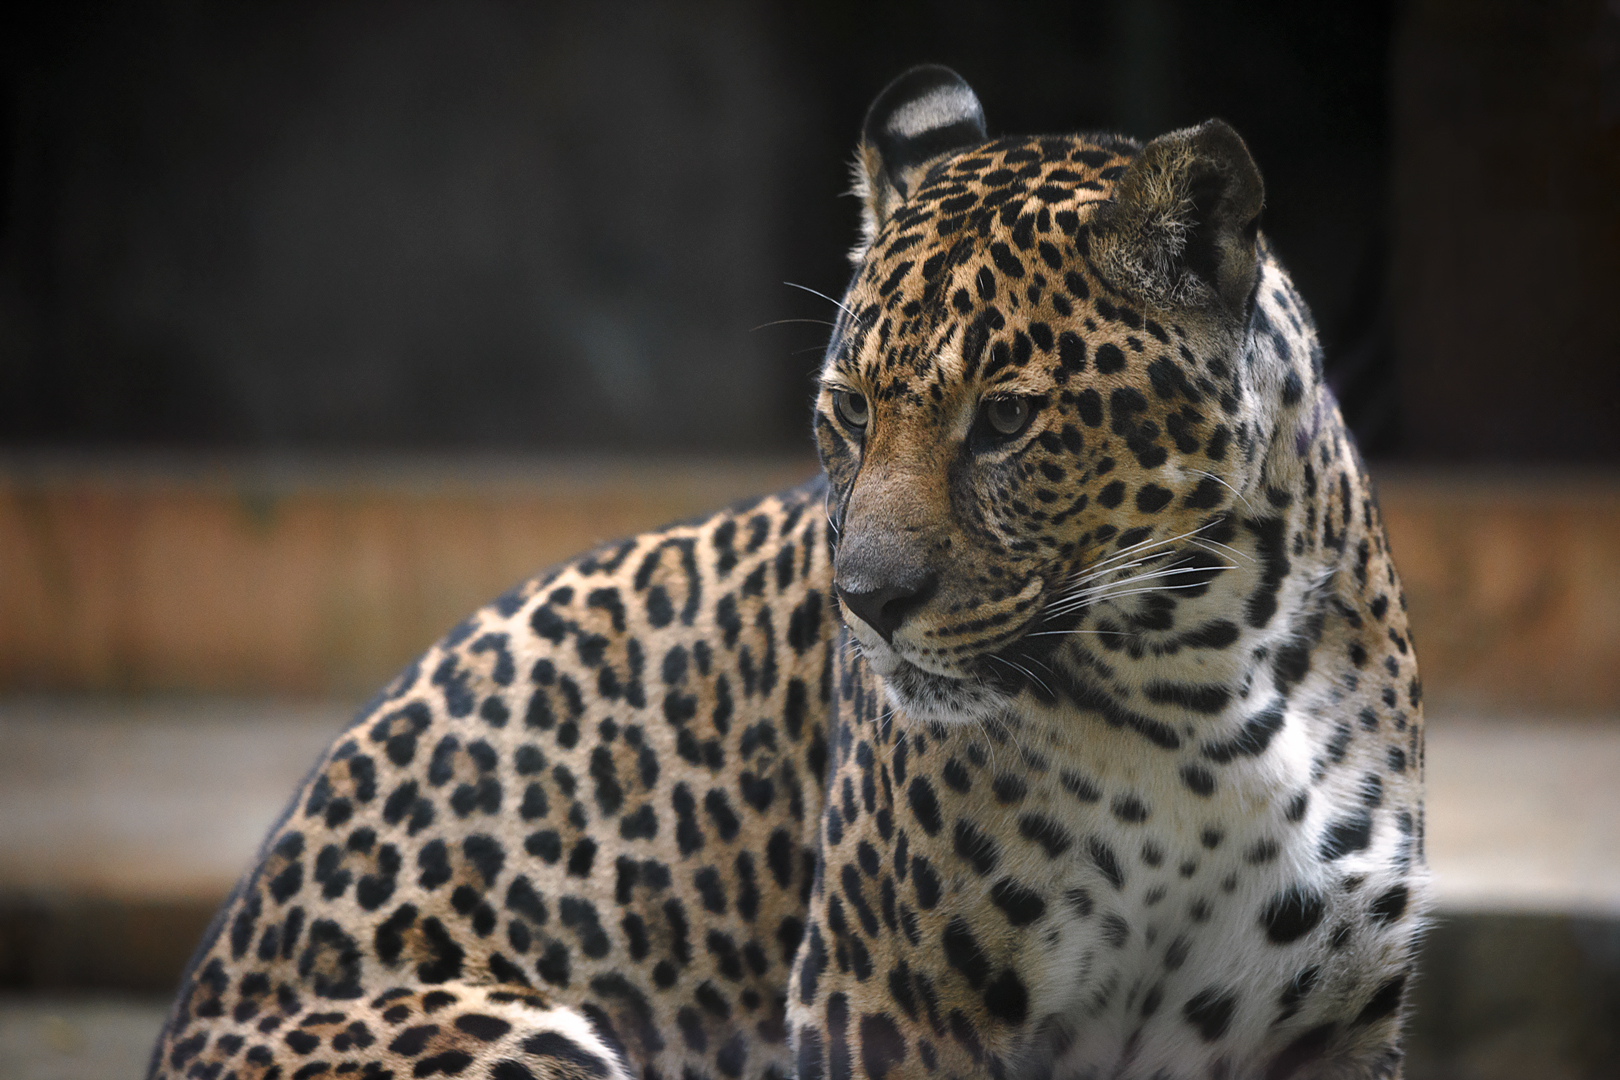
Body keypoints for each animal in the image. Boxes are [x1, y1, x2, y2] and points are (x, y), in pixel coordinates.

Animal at [150, 65, 1426, 1080]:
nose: (867, 604)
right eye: (849, 411)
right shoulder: (888, 998)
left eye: (1008, 419)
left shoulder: (1334, 1017)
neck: (1208, 678)